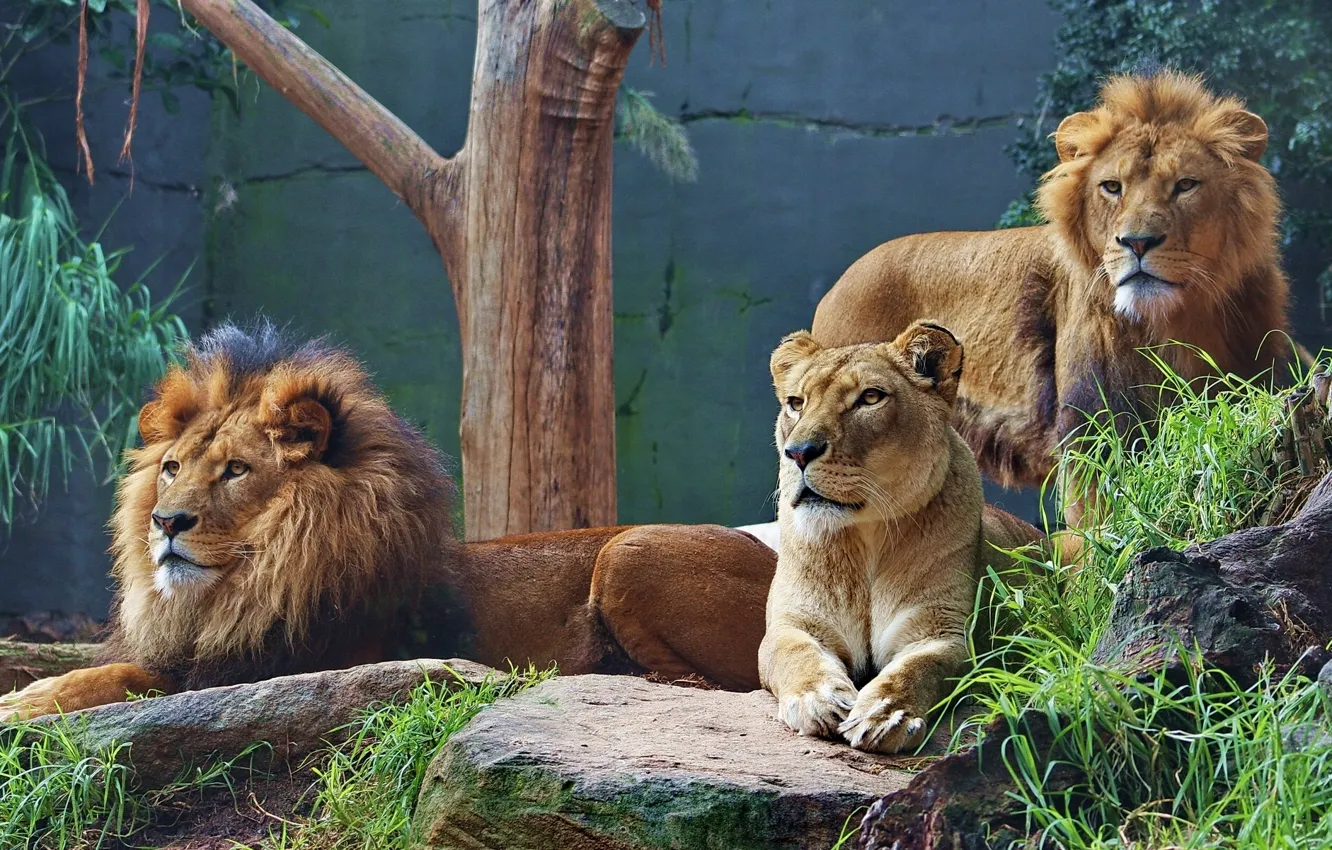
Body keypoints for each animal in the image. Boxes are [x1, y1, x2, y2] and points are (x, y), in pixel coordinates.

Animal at [0, 322, 775, 720]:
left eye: (236, 471)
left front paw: (23, 705)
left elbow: (121, 677)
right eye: (170, 467)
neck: (240, 586)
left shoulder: (287, 663)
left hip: (629, 549)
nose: (166, 521)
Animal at [760, 322, 1043, 753]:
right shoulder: (794, 622)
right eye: (796, 402)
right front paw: (817, 699)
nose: (799, 453)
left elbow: (917, 668)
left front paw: (884, 714)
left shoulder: (941, 631)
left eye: (870, 397)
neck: (864, 537)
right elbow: (795, 653)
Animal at [811, 70, 1293, 525]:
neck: (1173, 323)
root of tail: (835, 288)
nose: (1137, 242)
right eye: (1112, 187)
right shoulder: (1092, 427)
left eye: (1186, 185)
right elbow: (1099, 523)